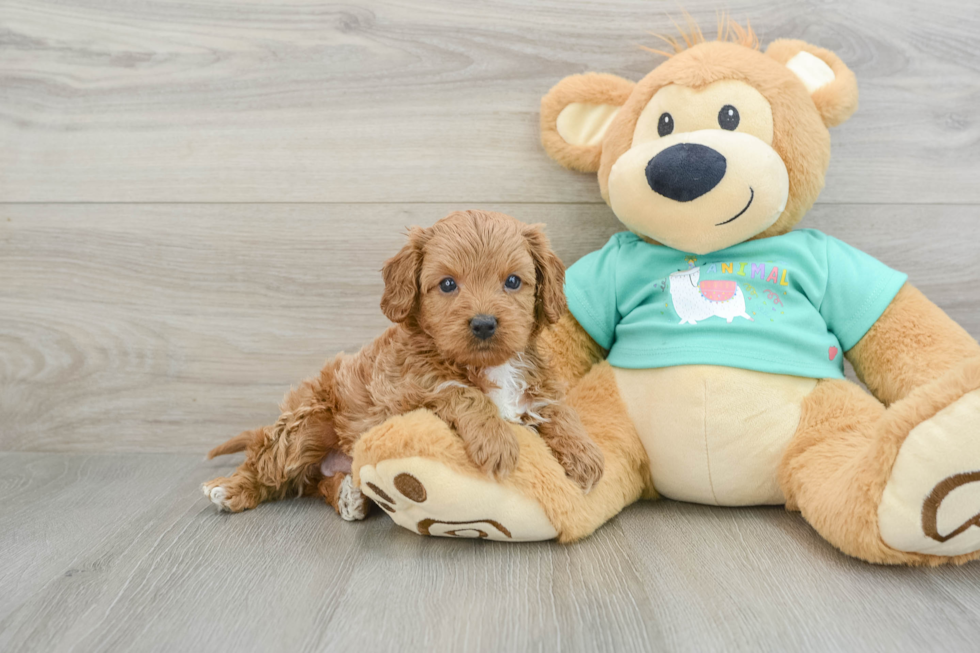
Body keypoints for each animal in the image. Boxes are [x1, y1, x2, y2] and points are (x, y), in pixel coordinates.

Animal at [203, 210, 604, 520]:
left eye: (513, 281)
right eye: (447, 284)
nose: (484, 324)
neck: (490, 366)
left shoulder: (535, 386)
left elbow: (557, 408)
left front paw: (584, 453)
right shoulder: (404, 391)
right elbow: (462, 392)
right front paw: (496, 440)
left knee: (313, 483)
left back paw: (349, 496)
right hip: (309, 421)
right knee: (269, 465)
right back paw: (230, 489)